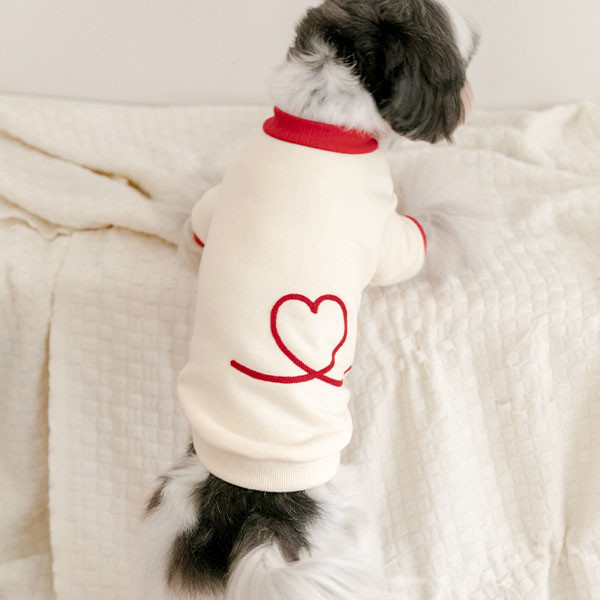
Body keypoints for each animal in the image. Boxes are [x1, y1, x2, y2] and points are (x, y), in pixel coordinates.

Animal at [136, 1, 480, 598]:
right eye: (462, 53)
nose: (480, 32)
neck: (318, 124)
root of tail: (257, 509)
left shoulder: (216, 204)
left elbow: (197, 215)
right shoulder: (384, 230)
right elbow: (418, 236)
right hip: (348, 502)